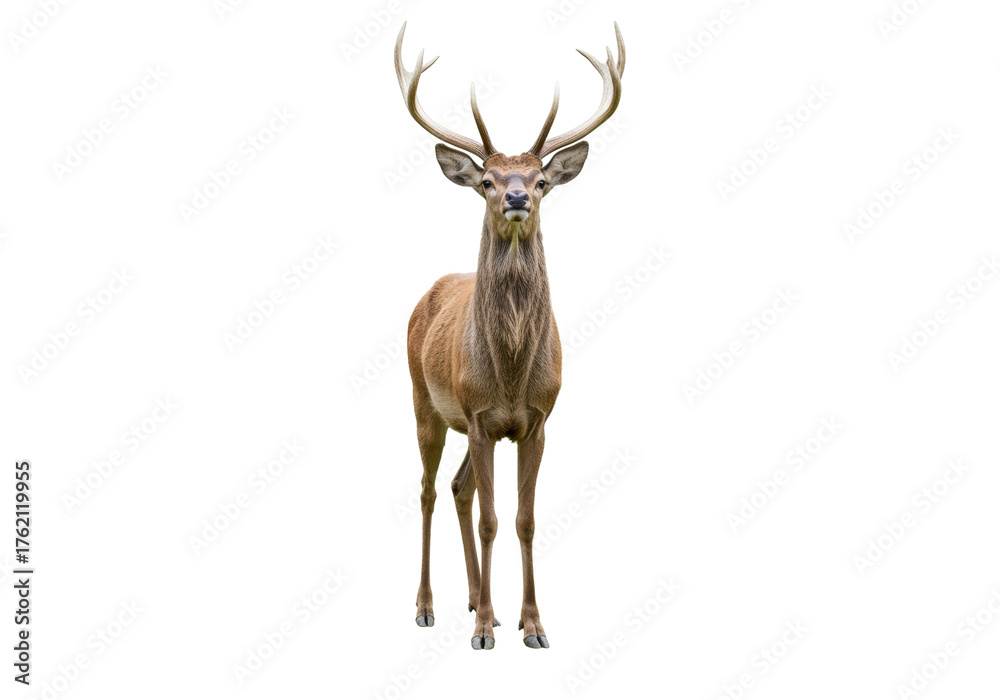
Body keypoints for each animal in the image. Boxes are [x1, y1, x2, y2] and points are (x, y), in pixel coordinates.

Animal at [395, 21, 625, 650]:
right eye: (487, 181)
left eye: (542, 179)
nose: (517, 196)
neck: (512, 372)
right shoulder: (478, 414)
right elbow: (492, 519)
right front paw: (481, 633)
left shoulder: (535, 419)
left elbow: (523, 520)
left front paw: (531, 624)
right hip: (425, 401)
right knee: (429, 491)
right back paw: (427, 606)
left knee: (459, 488)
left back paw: (482, 601)